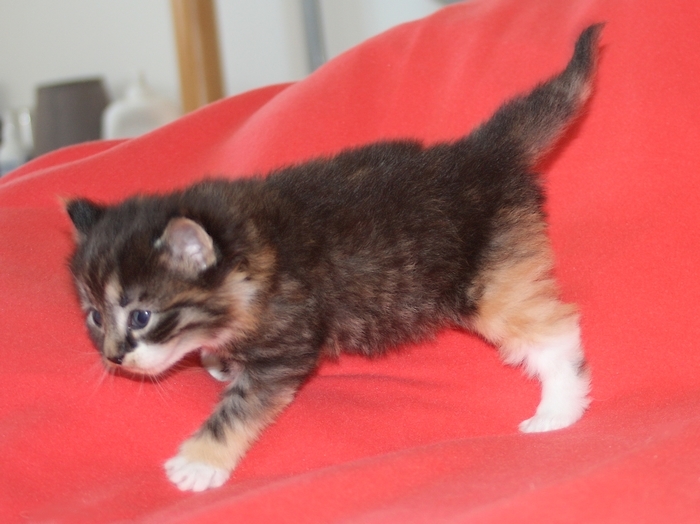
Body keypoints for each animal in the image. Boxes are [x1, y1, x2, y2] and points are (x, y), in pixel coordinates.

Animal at [66, 25, 602, 492]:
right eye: (95, 317)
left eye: (141, 316)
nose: (113, 357)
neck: (250, 253)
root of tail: (484, 152)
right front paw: (217, 357)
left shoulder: (285, 349)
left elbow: (239, 408)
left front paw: (199, 462)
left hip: (490, 278)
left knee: (556, 330)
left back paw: (559, 409)